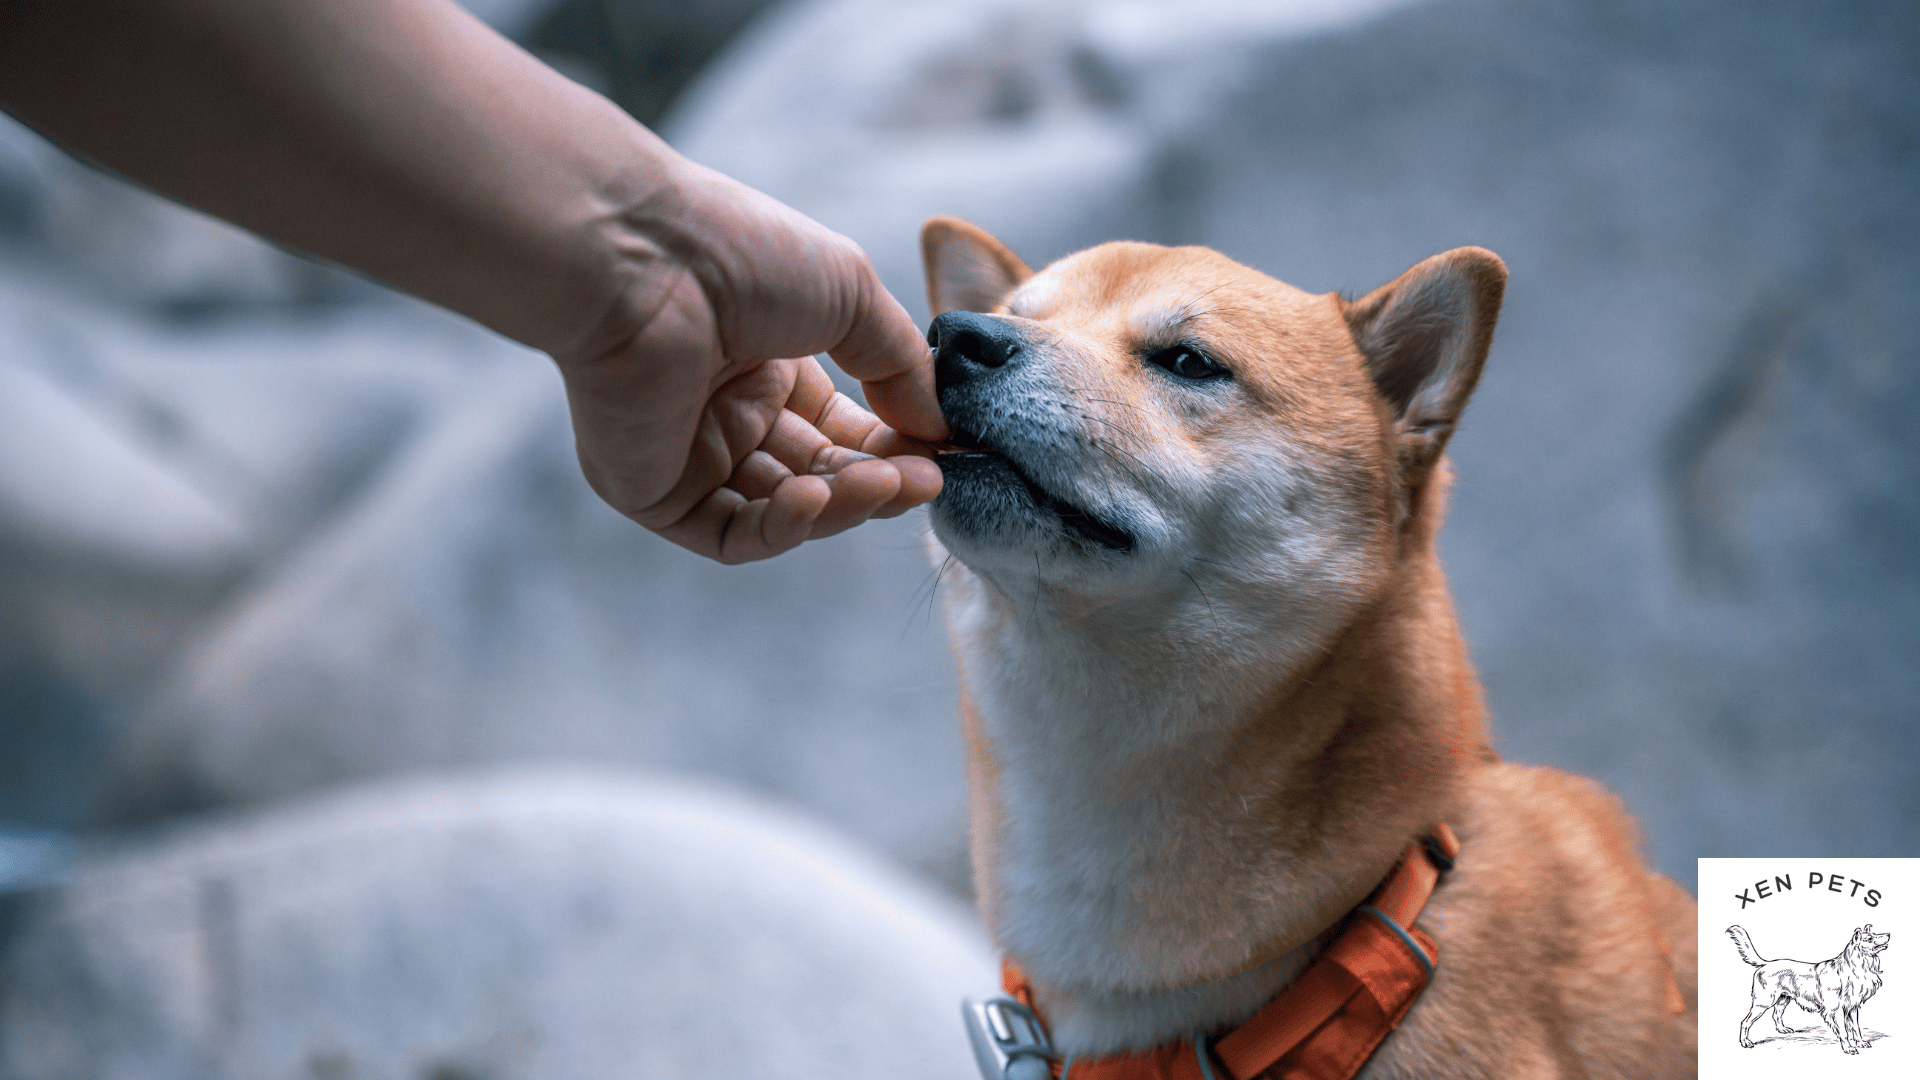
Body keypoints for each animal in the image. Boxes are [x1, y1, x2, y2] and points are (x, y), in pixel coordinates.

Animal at [1728, 914, 1889, 1053]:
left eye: (1875, 935)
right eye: (1870, 938)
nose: (1888, 934)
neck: (1854, 968)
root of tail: (1766, 964)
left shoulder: (1852, 1007)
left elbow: (1855, 1027)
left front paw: (1861, 1042)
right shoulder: (1834, 1010)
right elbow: (1843, 1031)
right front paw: (1849, 1048)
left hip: (1783, 999)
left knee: (1776, 1014)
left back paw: (1782, 1029)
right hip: (1763, 1002)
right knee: (1745, 1022)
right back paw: (1745, 1042)